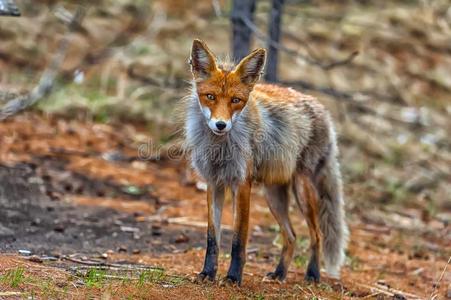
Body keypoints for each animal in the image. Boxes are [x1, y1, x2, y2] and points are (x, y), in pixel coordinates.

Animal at [184, 39, 350, 286]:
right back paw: (280, 273)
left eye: (236, 101)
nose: (221, 125)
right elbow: (212, 239)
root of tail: (323, 110)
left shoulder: (242, 184)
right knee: (291, 236)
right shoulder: (214, 183)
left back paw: (313, 274)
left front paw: (233, 277)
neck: (220, 148)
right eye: (210, 96)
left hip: (302, 190)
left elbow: (238, 240)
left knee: (316, 235)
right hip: (273, 195)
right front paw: (208, 273)